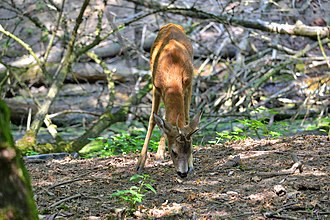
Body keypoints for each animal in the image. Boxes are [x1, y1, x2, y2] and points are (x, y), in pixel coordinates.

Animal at [135, 23, 200, 179]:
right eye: (174, 152)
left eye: (189, 149)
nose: (183, 173)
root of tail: (172, 24)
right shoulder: (156, 86)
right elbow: (153, 119)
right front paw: (140, 162)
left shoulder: (188, 84)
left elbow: (186, 119)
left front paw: (191, 164)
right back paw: (158, 154)